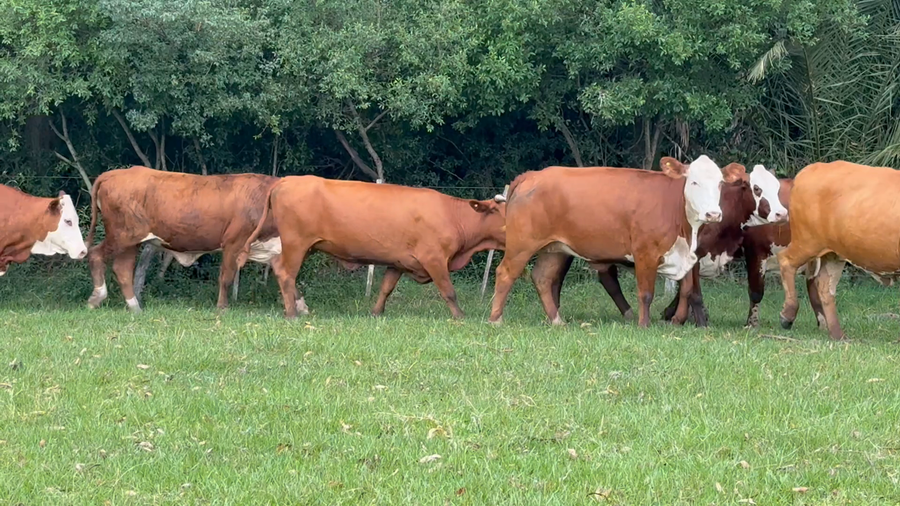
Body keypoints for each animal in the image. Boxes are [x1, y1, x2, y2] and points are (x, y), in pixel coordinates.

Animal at [84, 167, 283, 312]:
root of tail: (114, 173)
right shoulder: (234, 242)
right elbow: (226, 277)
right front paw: (222, 308)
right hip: (122, 235)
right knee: (96, 255)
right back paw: (96, 298)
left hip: (131, 241)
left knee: (123, 269)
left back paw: (135, 308)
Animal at [237, 176, 506, 319]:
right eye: (502, 212)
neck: (452, 214)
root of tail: (288, 179)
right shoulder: (434, 259)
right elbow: (449, 290)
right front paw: (460, 316)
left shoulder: (399, 261)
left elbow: (386, 288)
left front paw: (376, 312)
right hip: (296, 242)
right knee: (286, 273)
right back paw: (291, 312)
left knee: (278, 266)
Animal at [488, 155, 727, 327]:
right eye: (694, 182)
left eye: (720, 184)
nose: (713, 214)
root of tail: (531, 175)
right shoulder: (645, 252)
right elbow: (646, 293)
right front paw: (644, 325)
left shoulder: (683, 255)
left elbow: (687, 289)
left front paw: (676, 320)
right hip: (522, 245)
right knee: (505, 273)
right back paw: (495, 319)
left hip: (554, 249)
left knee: (542, 278)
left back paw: (557, 321)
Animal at [778, 161, 900, 340]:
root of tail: (814, 167)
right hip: (806, 242)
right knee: (785, 261)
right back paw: (788, 315)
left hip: (833, 254)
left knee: (825, 288)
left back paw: (837, 334)